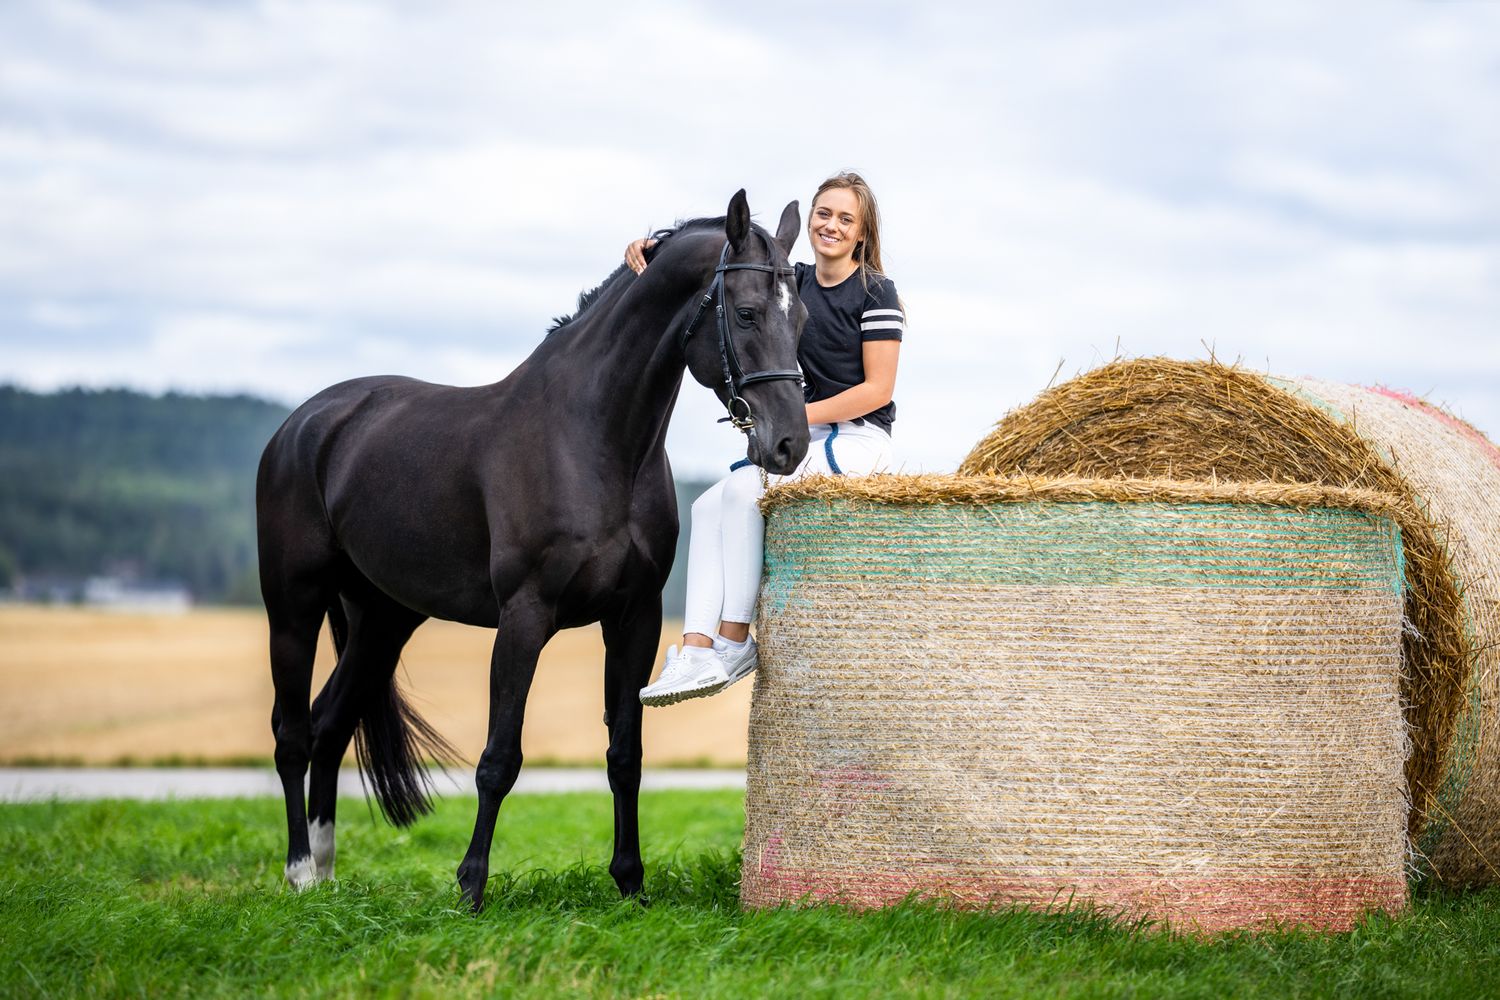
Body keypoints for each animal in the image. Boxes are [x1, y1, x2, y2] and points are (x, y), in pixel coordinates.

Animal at [255, 191, 808, 909]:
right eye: (745, 312)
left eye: (799, 316)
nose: (790, 444)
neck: (590, 438)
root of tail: (307, 423)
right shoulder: (524, 616)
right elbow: (500, 758)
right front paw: (471, 887)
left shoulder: (632, 618)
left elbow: (625, 754)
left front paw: (630, 883)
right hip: (292, 608)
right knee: (293, 735)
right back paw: (298, 871)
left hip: (382, 620)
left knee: (329, 727)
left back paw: (323, 876)